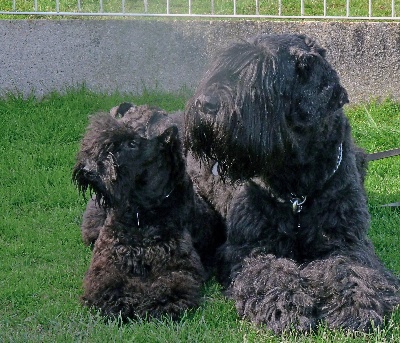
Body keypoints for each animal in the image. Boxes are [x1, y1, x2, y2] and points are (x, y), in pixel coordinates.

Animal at [73, 103, 223, 322]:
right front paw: (119, 300)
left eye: (133, 142)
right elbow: (109, 281)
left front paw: (158, 302)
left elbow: (168, 284)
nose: (88, 169)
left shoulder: (176, 265)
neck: (141, 213)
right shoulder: (108, 259)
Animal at [185, 34, 400, 334]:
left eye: (261, 76)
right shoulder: (251, 248)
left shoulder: (346, 242)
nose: (205, 104)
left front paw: (356, 304)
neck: (297, 186)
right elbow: (269, 272)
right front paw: (285, 303)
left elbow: (351, 269)